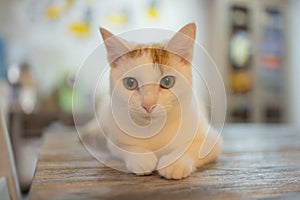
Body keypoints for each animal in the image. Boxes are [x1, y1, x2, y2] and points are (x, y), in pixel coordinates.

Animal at [81, 22, 221, 179]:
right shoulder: (115, 139)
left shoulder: (211, 138)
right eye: (130, 83)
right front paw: (142, 158)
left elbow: (194, 147)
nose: (148, 105)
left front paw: (175, 162)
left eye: (167, 81)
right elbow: (124, 147)